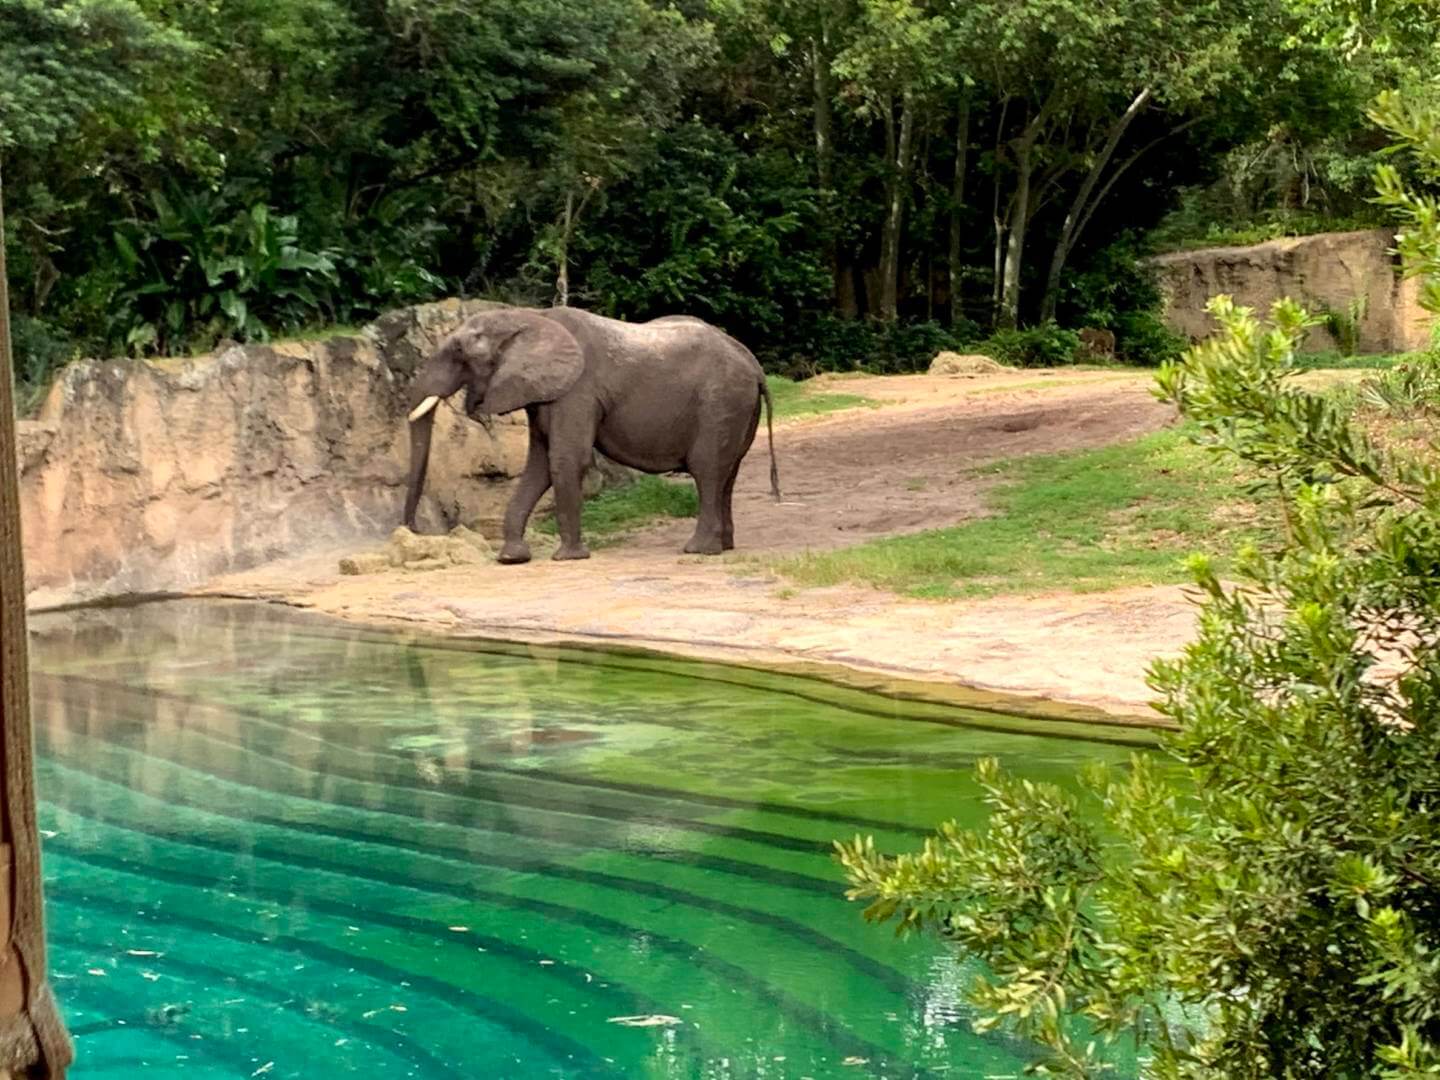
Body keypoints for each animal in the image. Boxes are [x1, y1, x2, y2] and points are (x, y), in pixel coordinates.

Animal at [400, 300, 783, 561]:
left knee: (707, 469)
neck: (529, 317)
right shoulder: (545, 393)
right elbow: (539, 466)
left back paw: (697, 550)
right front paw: (512, 558)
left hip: (721, 401)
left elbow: (566, 460)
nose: (412, 530)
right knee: (727, 473)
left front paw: (567, 558)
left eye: (458, 352)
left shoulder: (578, 391)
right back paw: (724, 546)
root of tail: (752, 362)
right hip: (736, 406)